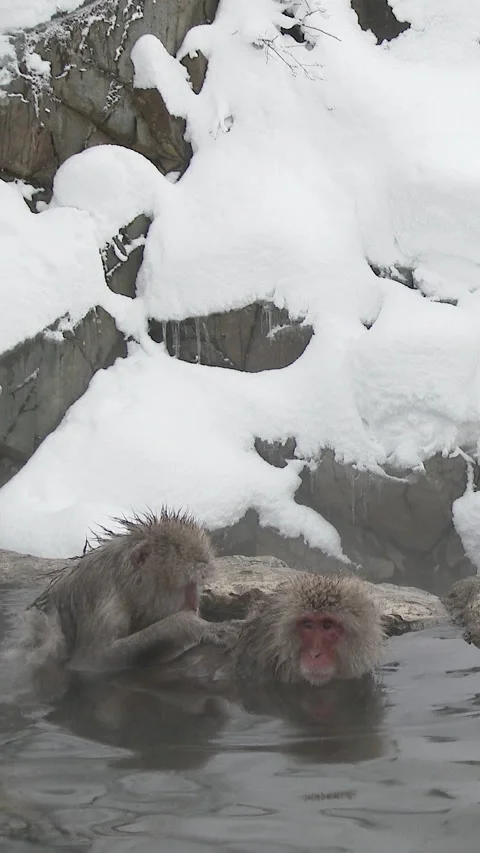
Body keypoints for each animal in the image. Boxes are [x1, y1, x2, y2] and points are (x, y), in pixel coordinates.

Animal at [17, 509, 231, 687]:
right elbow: (93, 660)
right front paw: (196, 625)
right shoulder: (105, 605)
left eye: (196, 585)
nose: (194, 604)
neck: (123, 582)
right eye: (188, 585)